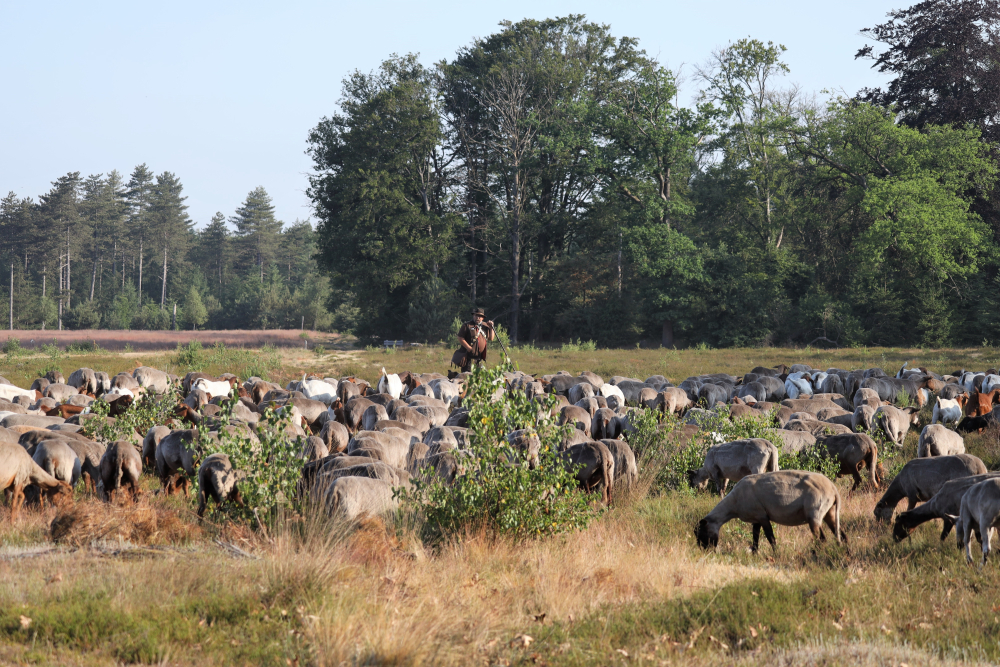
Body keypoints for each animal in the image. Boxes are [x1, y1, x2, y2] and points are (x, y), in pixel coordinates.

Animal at [696, 470, 844, 552]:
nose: (704, 550)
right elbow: (755, 537)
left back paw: (816, 553)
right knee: (841, 534)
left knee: (821, 539)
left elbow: (770, 537)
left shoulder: (762, 516)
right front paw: (755, 553)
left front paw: (776, 554)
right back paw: (844, 552)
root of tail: (833, 488)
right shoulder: (756, 518)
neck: (733, 505)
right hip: (829, 511)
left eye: (701, 532)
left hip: (814, 513)